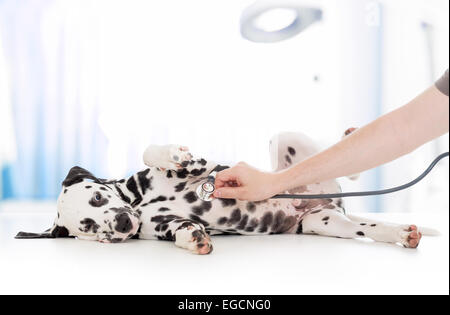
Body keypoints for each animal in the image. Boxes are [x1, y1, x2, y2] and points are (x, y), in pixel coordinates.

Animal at [17, 130, 432, 256]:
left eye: (98, 198)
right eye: (88, 228)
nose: (120, 224)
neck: (139, 202)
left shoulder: (206, 167)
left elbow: (156, 153)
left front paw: (172, 155)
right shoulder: (165, 225)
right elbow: (183, 230)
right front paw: (194, 239)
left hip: (287, 140)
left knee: (345, 156)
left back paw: (350, 134)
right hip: (328, 223)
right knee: (370, 227)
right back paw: (402, 234)